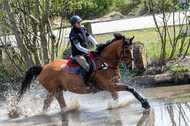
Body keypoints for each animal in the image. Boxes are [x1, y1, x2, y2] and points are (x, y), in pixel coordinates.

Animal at [17, 32, 151, 111]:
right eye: (127, 50)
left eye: (133, 49)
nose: (132, 67)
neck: (106, 63)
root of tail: (43, 67)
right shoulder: (110, 85)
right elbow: (130, 88)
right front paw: (144, 102)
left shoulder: (112, 86)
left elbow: (116, 99)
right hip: (56, 91)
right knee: (61, 105)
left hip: (53, 91)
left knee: (46, 103)